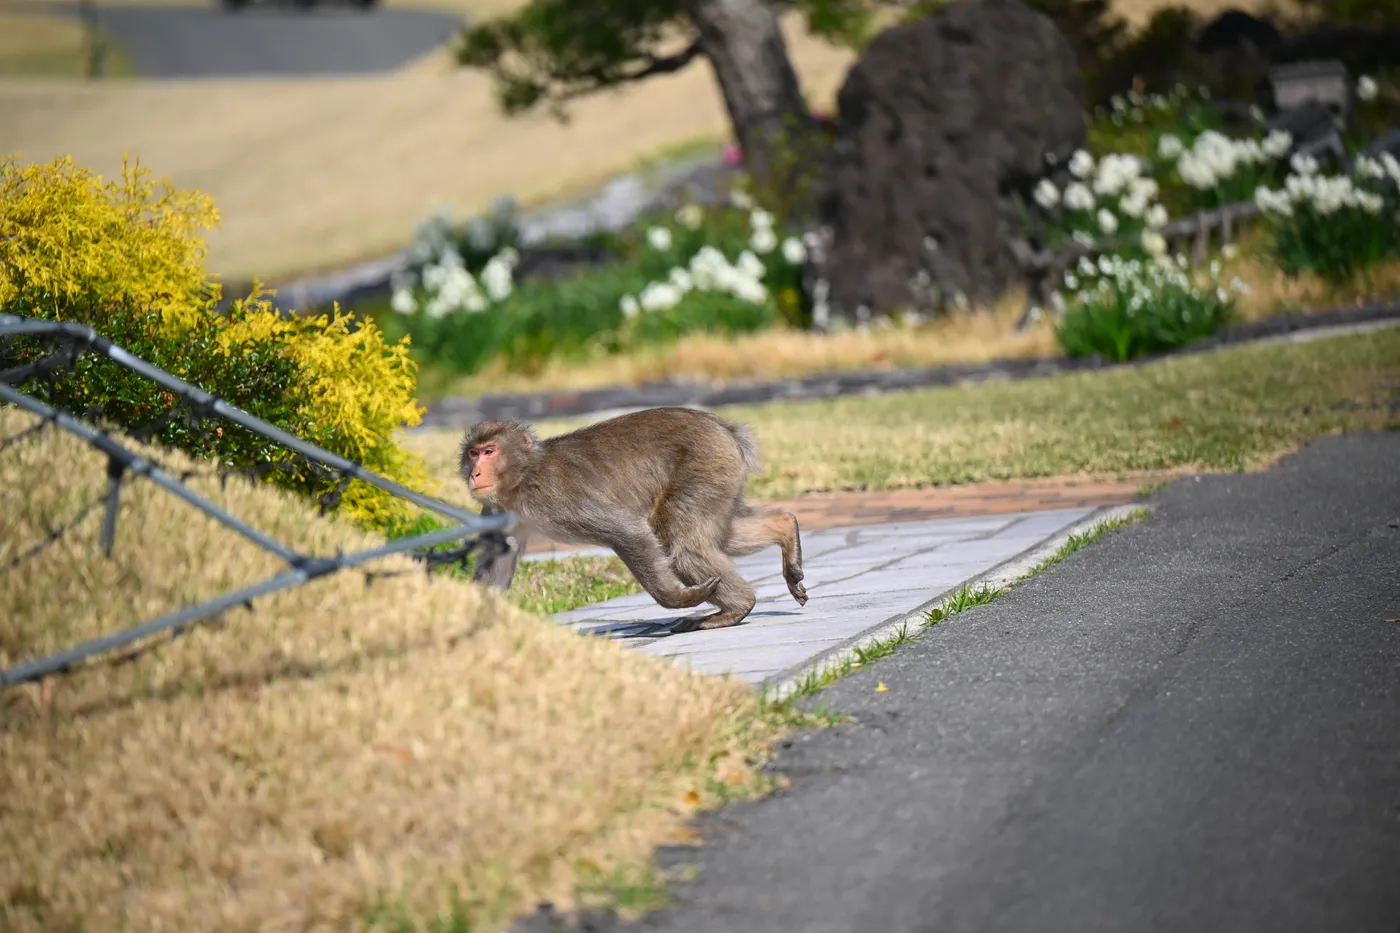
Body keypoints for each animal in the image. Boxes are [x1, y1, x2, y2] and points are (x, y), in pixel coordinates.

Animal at [459, 407, 807, 632]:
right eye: (473, 453)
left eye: (490, 451)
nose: (475, 473)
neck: (524, 475)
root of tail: (725, 428)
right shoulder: (497, 512)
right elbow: (495, 569)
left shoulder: (552, 501)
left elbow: (628, 530)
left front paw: (678, 598)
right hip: (722, 474)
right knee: (715, 534)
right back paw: (784, 526)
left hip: (706, 464)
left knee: (678, 540)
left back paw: (736, 608)